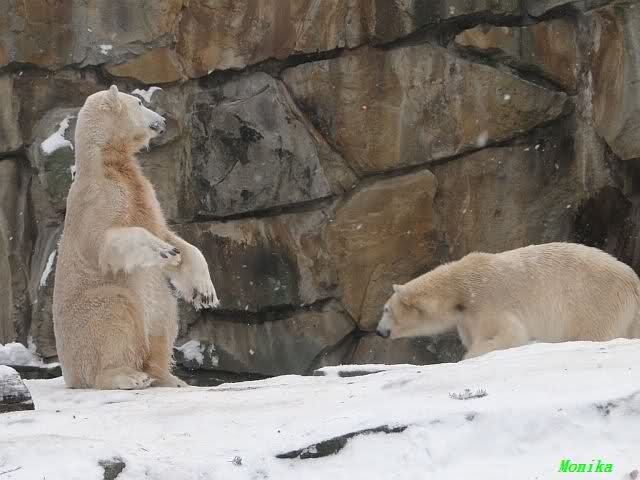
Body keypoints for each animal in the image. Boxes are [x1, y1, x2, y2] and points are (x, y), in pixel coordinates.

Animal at [52, 85, 219, 389]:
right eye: (140, 103)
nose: (162, 121)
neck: (107, 163)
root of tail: (70, 376)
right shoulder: (97, 200)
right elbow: (107, 243)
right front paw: (162, 250)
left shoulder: (144, 195)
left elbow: (171, 237)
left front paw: (204, 291)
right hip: (89, 316)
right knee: (116, 310)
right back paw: (127, 376)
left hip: (157, 309)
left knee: (164, 315)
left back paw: (169, 377)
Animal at [376, 242, 640, 359]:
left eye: (386, 309)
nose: (379, 331)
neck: (458, 290)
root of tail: (633, 281)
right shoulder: (467, 319)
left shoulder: (487, 301)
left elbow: (510, 334)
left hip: (595, 302)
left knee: (591, 332)